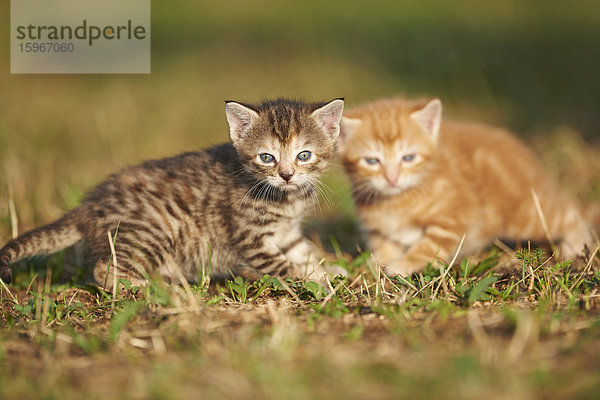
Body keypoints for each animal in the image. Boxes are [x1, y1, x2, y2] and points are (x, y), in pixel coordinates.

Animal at [0, 98, 344, 290]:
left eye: (303, 156)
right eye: (267, 158)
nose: (286, 175)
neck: (287, 200)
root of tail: (88, 206)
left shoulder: (288, 233)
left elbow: (303, 252)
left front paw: (326, 270)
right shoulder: (251, 238)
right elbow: (283, 266)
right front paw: (310, 281)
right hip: (153, 231)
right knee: (102, 269)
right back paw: (151, 286)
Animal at [340, 97, 592, 276]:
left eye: (408, 158)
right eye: (372, 161)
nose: (391, 178)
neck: (395, 200)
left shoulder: (456, 215)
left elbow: (429, 246)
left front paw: (403, 264)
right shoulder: (379, 230)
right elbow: (385, 245)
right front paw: (375, 263)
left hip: (527, 212)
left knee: (568, 211)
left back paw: (576, 244)